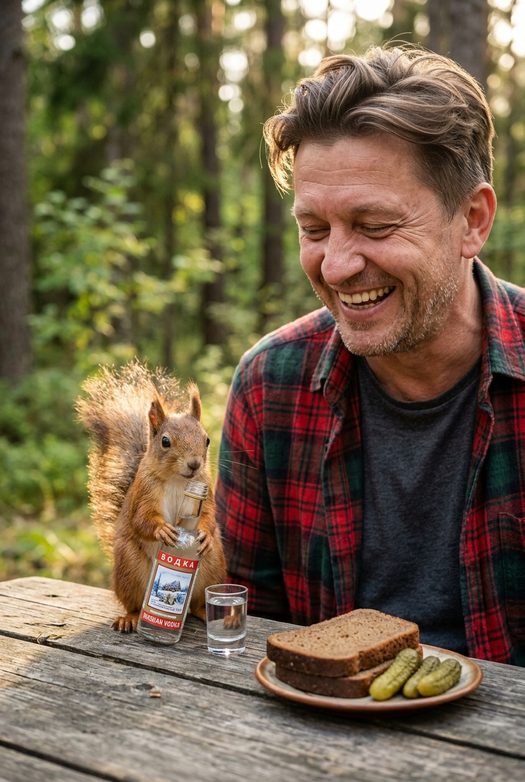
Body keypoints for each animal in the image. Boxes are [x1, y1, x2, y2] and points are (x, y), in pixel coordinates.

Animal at [76, 360, 227, 633]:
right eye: (165, 441)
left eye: (207, 439)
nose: (194, 464)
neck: (179, 481)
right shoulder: (144, 493)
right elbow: (142, 519)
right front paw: (162, 530)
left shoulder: (205, 490)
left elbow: (209, 515)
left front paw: (205, 532)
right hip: (130, 568)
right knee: (134, 604)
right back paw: (131, 618)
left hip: (213, 566)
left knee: (196, 603)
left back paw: (204, 612)